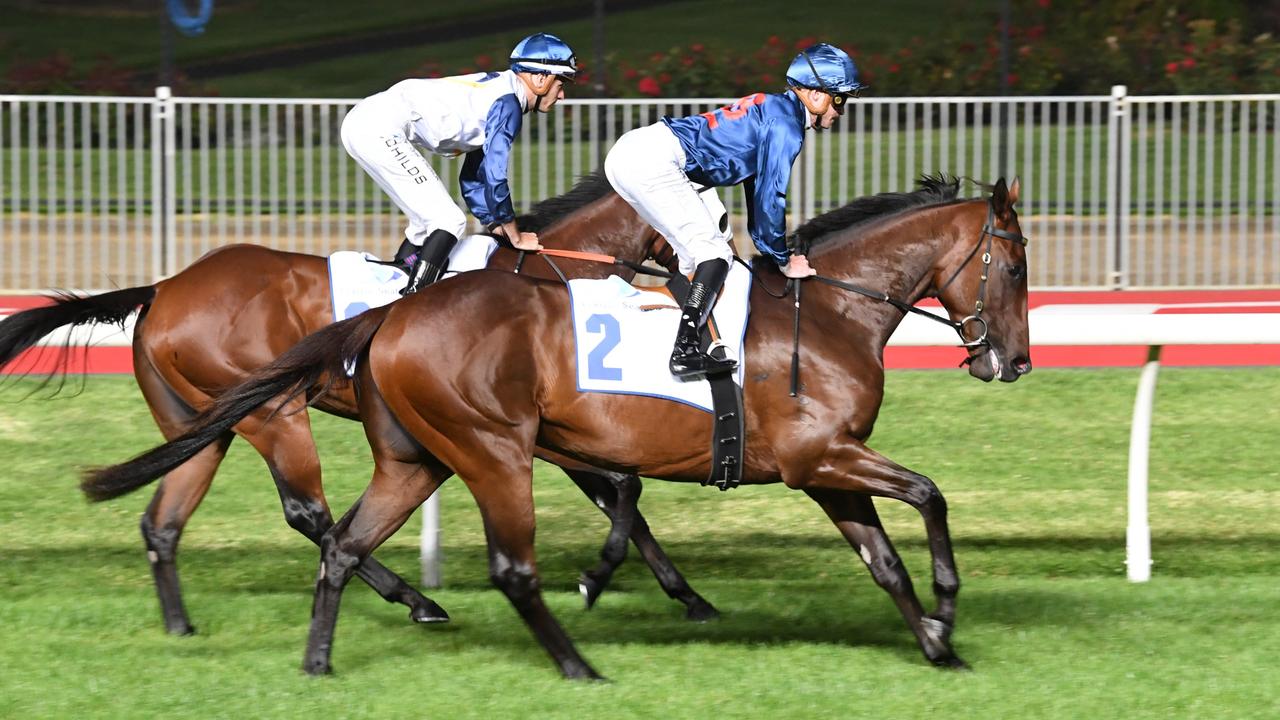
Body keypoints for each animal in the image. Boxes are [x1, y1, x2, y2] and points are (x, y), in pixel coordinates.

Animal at [0, 172, 721, 632]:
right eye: (716, 218)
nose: (718, 270)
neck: (554, 273)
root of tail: (163, 286)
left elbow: (625, 497)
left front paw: (690, 598)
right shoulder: (542, 430)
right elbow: (625, 491)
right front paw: (632, 584)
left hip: (201, 423)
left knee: (164, 523)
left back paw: (181, 626)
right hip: (272, 412)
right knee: (305, 511)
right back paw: (415, 600)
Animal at [87, 175, 1029, 676]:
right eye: (1016, 264)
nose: (1012, 362)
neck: (827, 313)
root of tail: (167, 287)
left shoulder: (823, 467)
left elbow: (883, 558)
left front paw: (937, 642)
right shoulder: (818, 458)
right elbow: (929, 498)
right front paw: (947, 612)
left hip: (240, 428)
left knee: (189, 523)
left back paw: (239, 636)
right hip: (342, 424)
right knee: (330, 520)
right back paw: (506, 634)